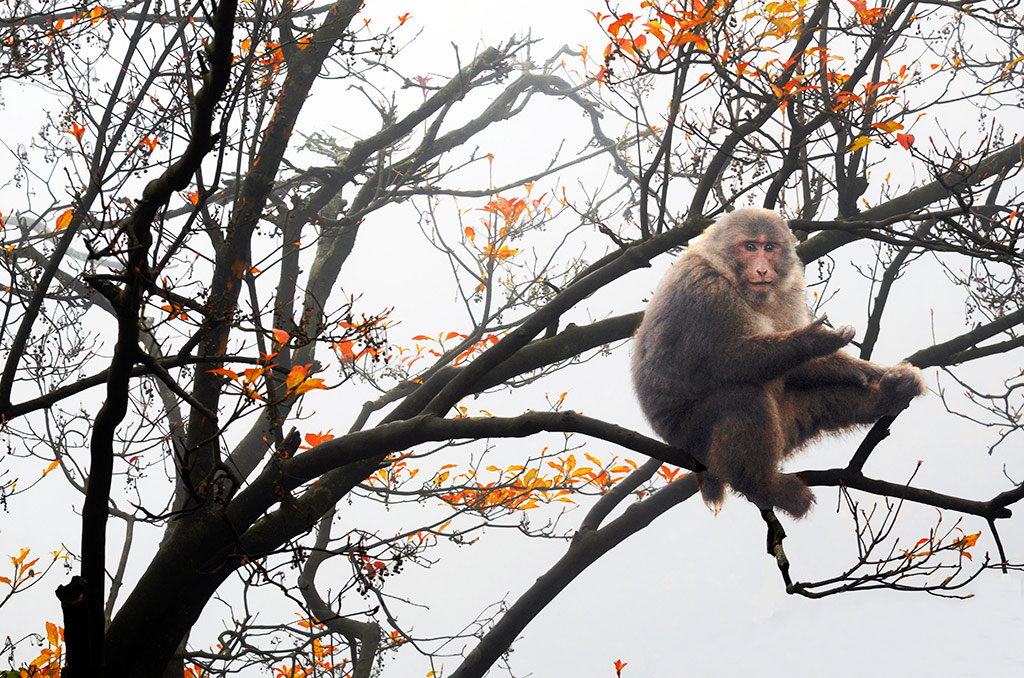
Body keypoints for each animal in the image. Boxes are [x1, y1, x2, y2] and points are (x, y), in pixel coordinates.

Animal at [630, 209, 929, 518]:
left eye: (769, 248)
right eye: (750, 247)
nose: (762, 269)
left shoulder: (789, 289)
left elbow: (799, 369)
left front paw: (875, 371)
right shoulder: (708, 291)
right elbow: (727, 362)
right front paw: (813, 340)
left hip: (785, 427)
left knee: (813, 397)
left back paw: (886, 395)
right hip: (690, 433)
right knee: (742, 397)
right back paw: (763, 485)